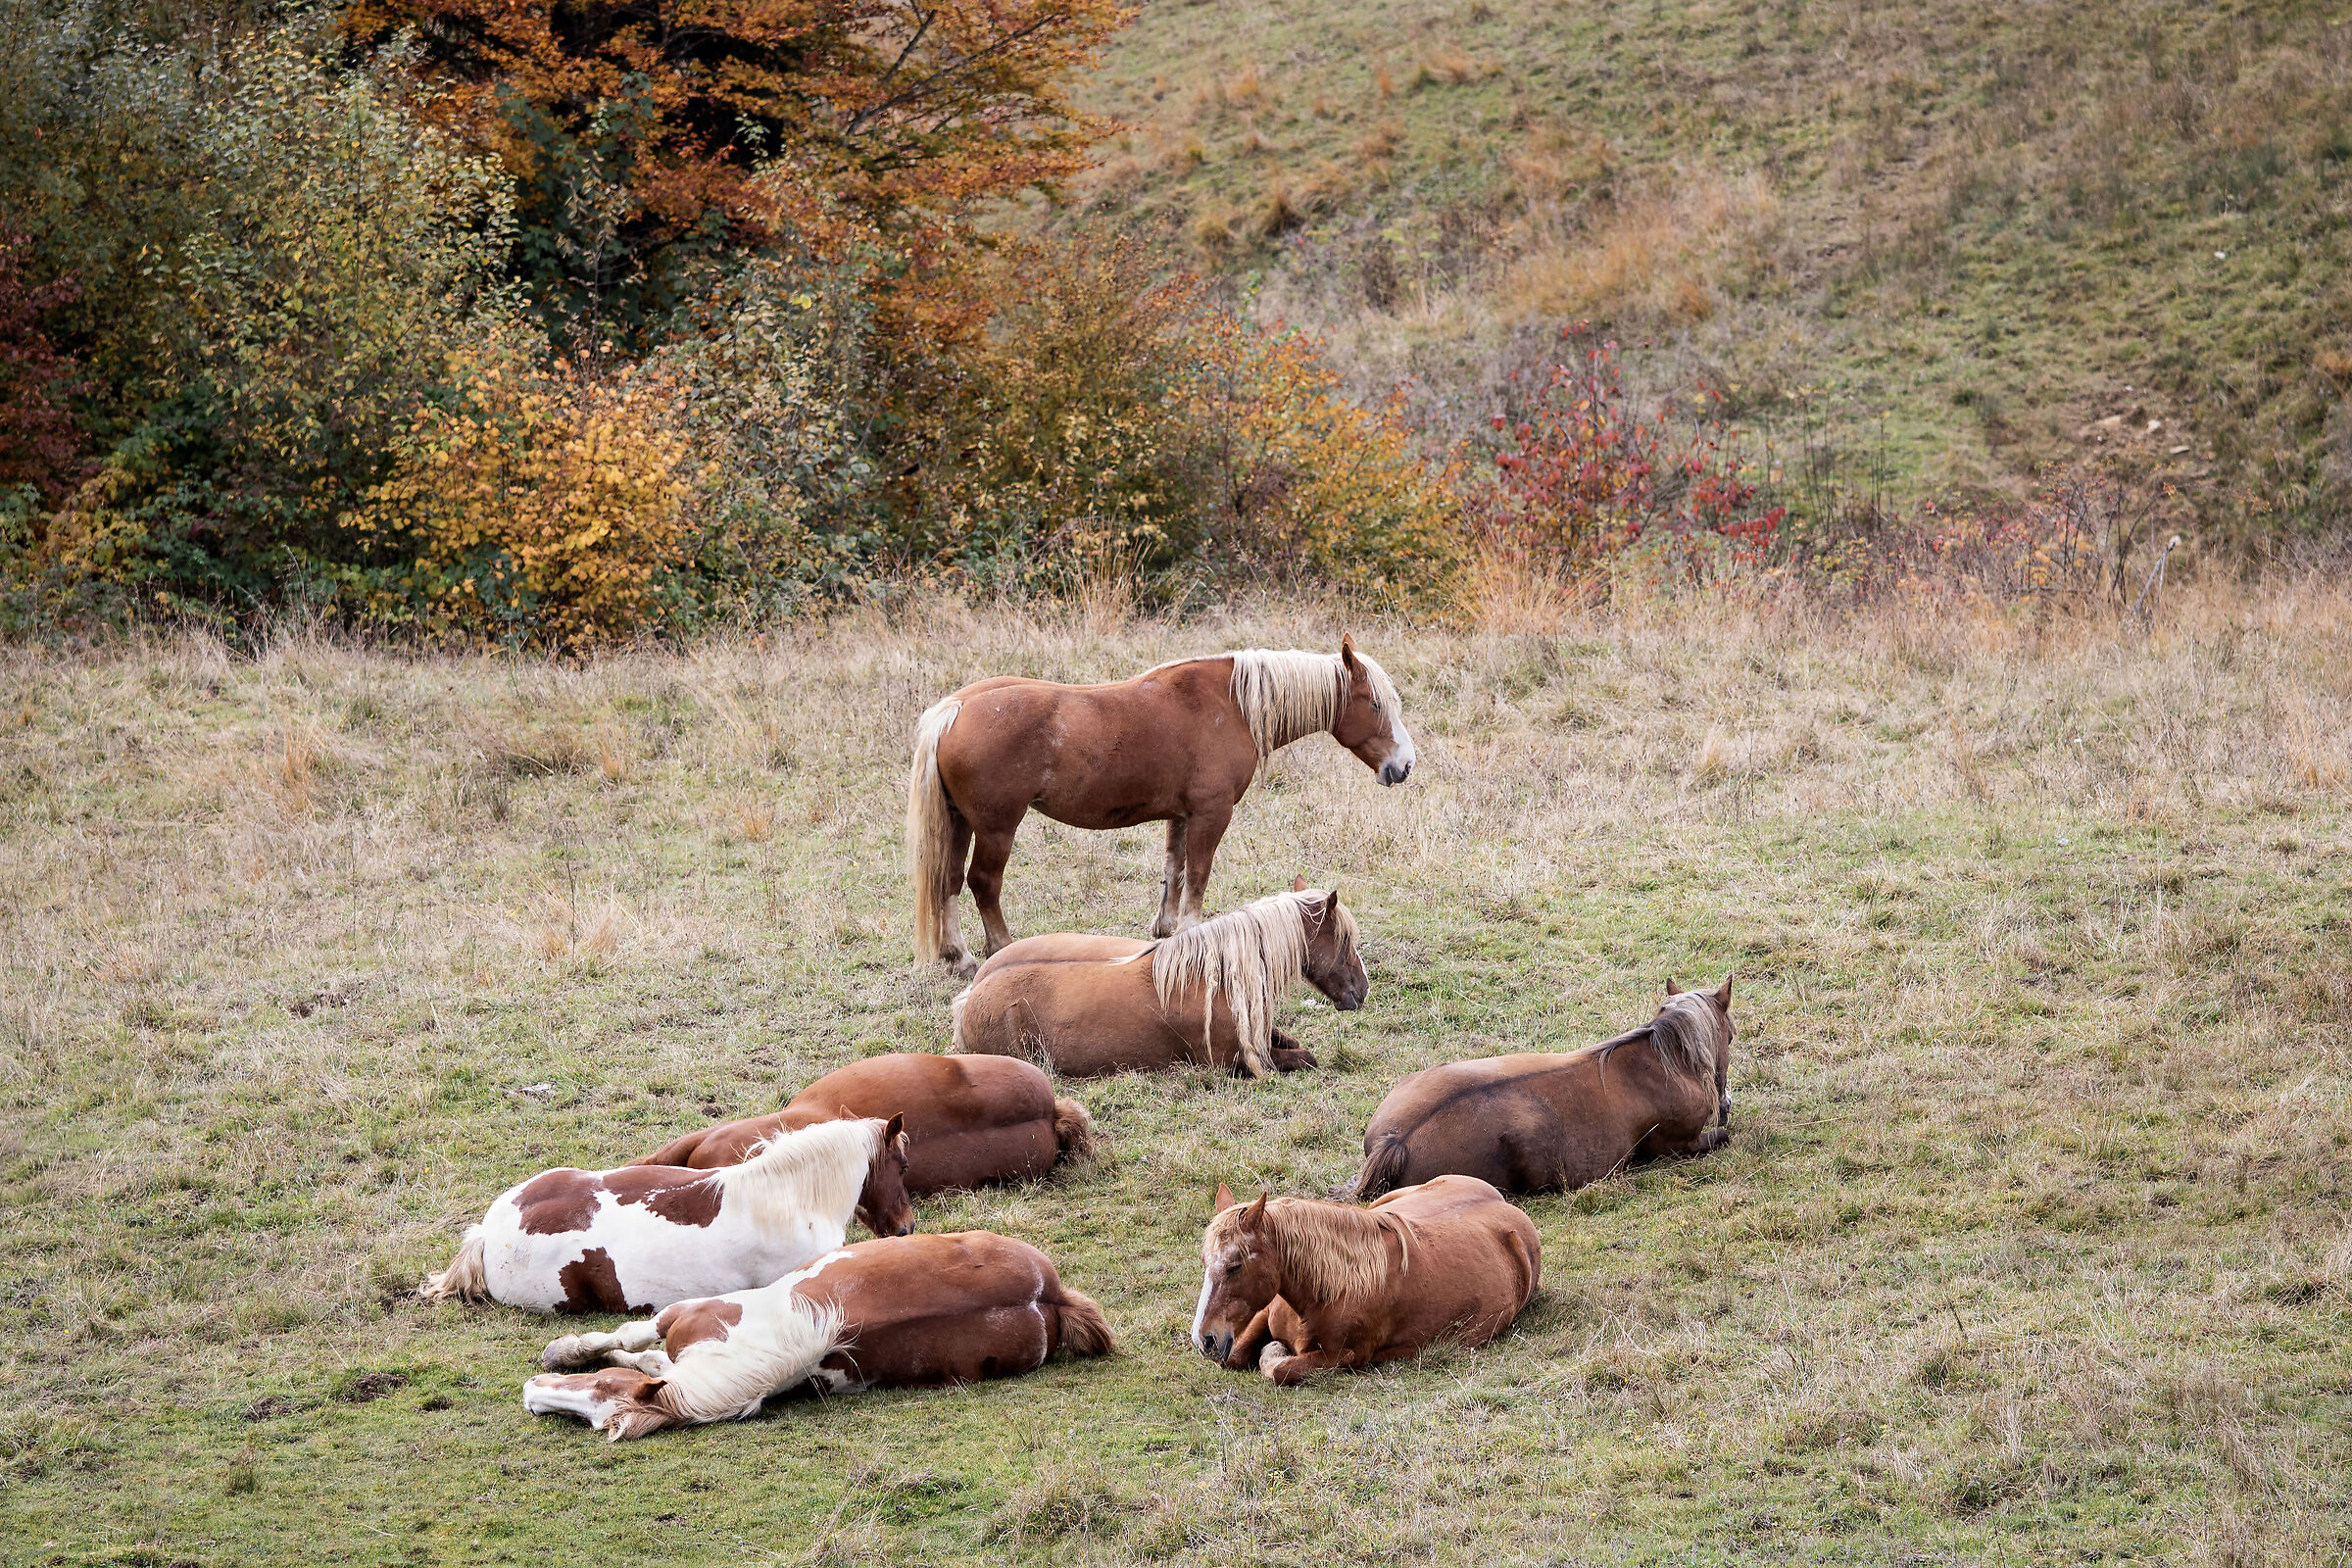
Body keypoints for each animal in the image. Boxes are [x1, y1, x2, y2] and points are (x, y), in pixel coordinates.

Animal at [523, 1231, 1115, 1440]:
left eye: (603, 1390)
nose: (531, 1397)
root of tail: (1050, 1296)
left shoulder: (681, 1314)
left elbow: (629, 1335)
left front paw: (563, 1351)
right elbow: (646, 1356)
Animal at [907, 637, 1413, 972]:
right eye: (1373, 704)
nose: (1404, 765)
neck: (1230, 705)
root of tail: (954, 709)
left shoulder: (1181, 815)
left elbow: (1175, 870)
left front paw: (1167, 930)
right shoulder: (1212, 813)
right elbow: (1199, 875)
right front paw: (1190, 931)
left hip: (960, 823)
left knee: (949, 881)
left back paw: (958, 955)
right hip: (997, 827)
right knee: (983, 883)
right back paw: (999, 947)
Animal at [949, 883, 1366, 1079]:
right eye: (1345, 940)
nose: (1361, 990)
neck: (1217, 976)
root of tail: (973, 995)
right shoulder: (1233, 1062)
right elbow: (1306, 1057)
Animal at [1191, 1176, 1540, 1385]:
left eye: (1235, 1266)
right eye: (1205, 1262)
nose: (1203, 1339)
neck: (1333, 1288)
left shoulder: (1344, 1356)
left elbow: (1279, 1368)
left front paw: (1274, 1352)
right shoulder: (1263, 1314)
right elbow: (1236, 1355)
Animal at [1354, 978, 1735, 1200]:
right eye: (1730, 1035)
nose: (1726, 1104)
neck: (1660, 1059)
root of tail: (1397, 1141)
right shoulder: (1680, 1145)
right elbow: (1720, 1137)